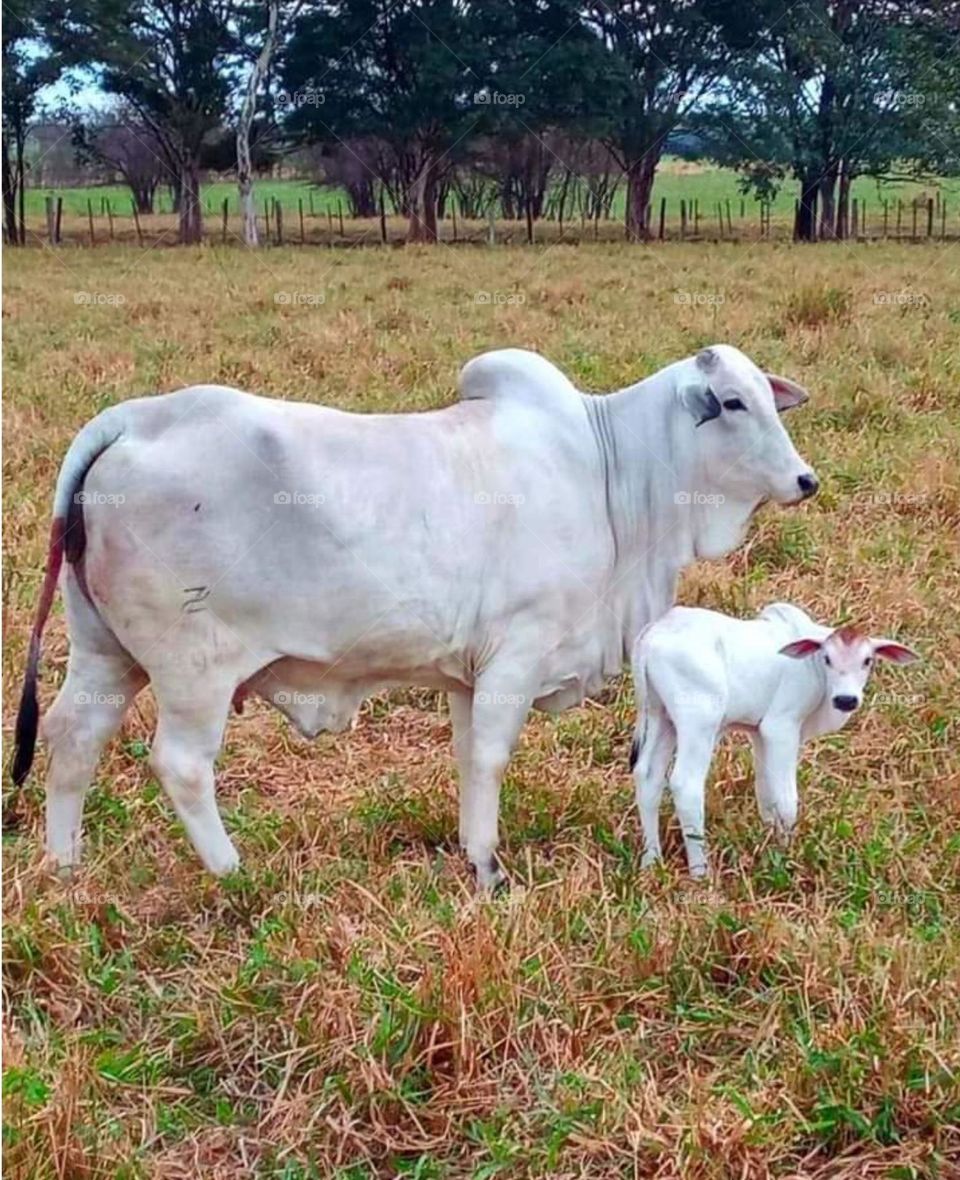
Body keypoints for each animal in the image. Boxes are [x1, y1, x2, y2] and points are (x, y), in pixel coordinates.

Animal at [12, 344, 817, 888]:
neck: (608, 467)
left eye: (769, 398)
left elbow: (465, 757)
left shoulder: (468, 675)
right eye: (733, 403)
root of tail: (135, 419)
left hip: (105, 652)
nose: (805, 480)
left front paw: (470, 850)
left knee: (72, 740)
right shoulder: (518, 652)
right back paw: (232, 872)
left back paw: (64, 866)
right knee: (180, 763)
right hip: (193, 670)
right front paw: (490, 868)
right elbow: (491, 756)